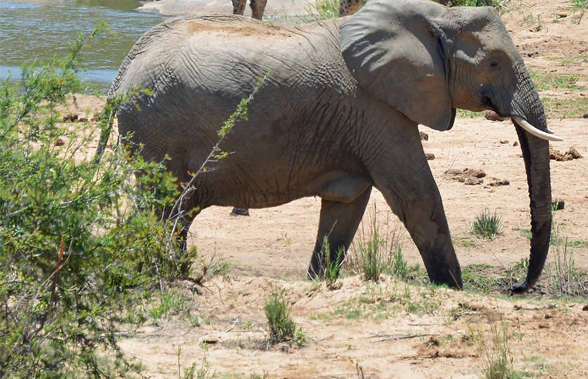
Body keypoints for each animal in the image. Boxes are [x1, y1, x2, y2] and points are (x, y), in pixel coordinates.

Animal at [110, 0, 560, 292]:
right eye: (495, 63)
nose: (517, 287)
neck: (436, 16)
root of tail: (127, 62)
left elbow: (347, 208)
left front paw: (318, 283)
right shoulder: (375, 107)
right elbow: (416, 197)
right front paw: (453, 290)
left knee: (177, 213)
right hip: (154, 129)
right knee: (166, 208)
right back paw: (165, 276)